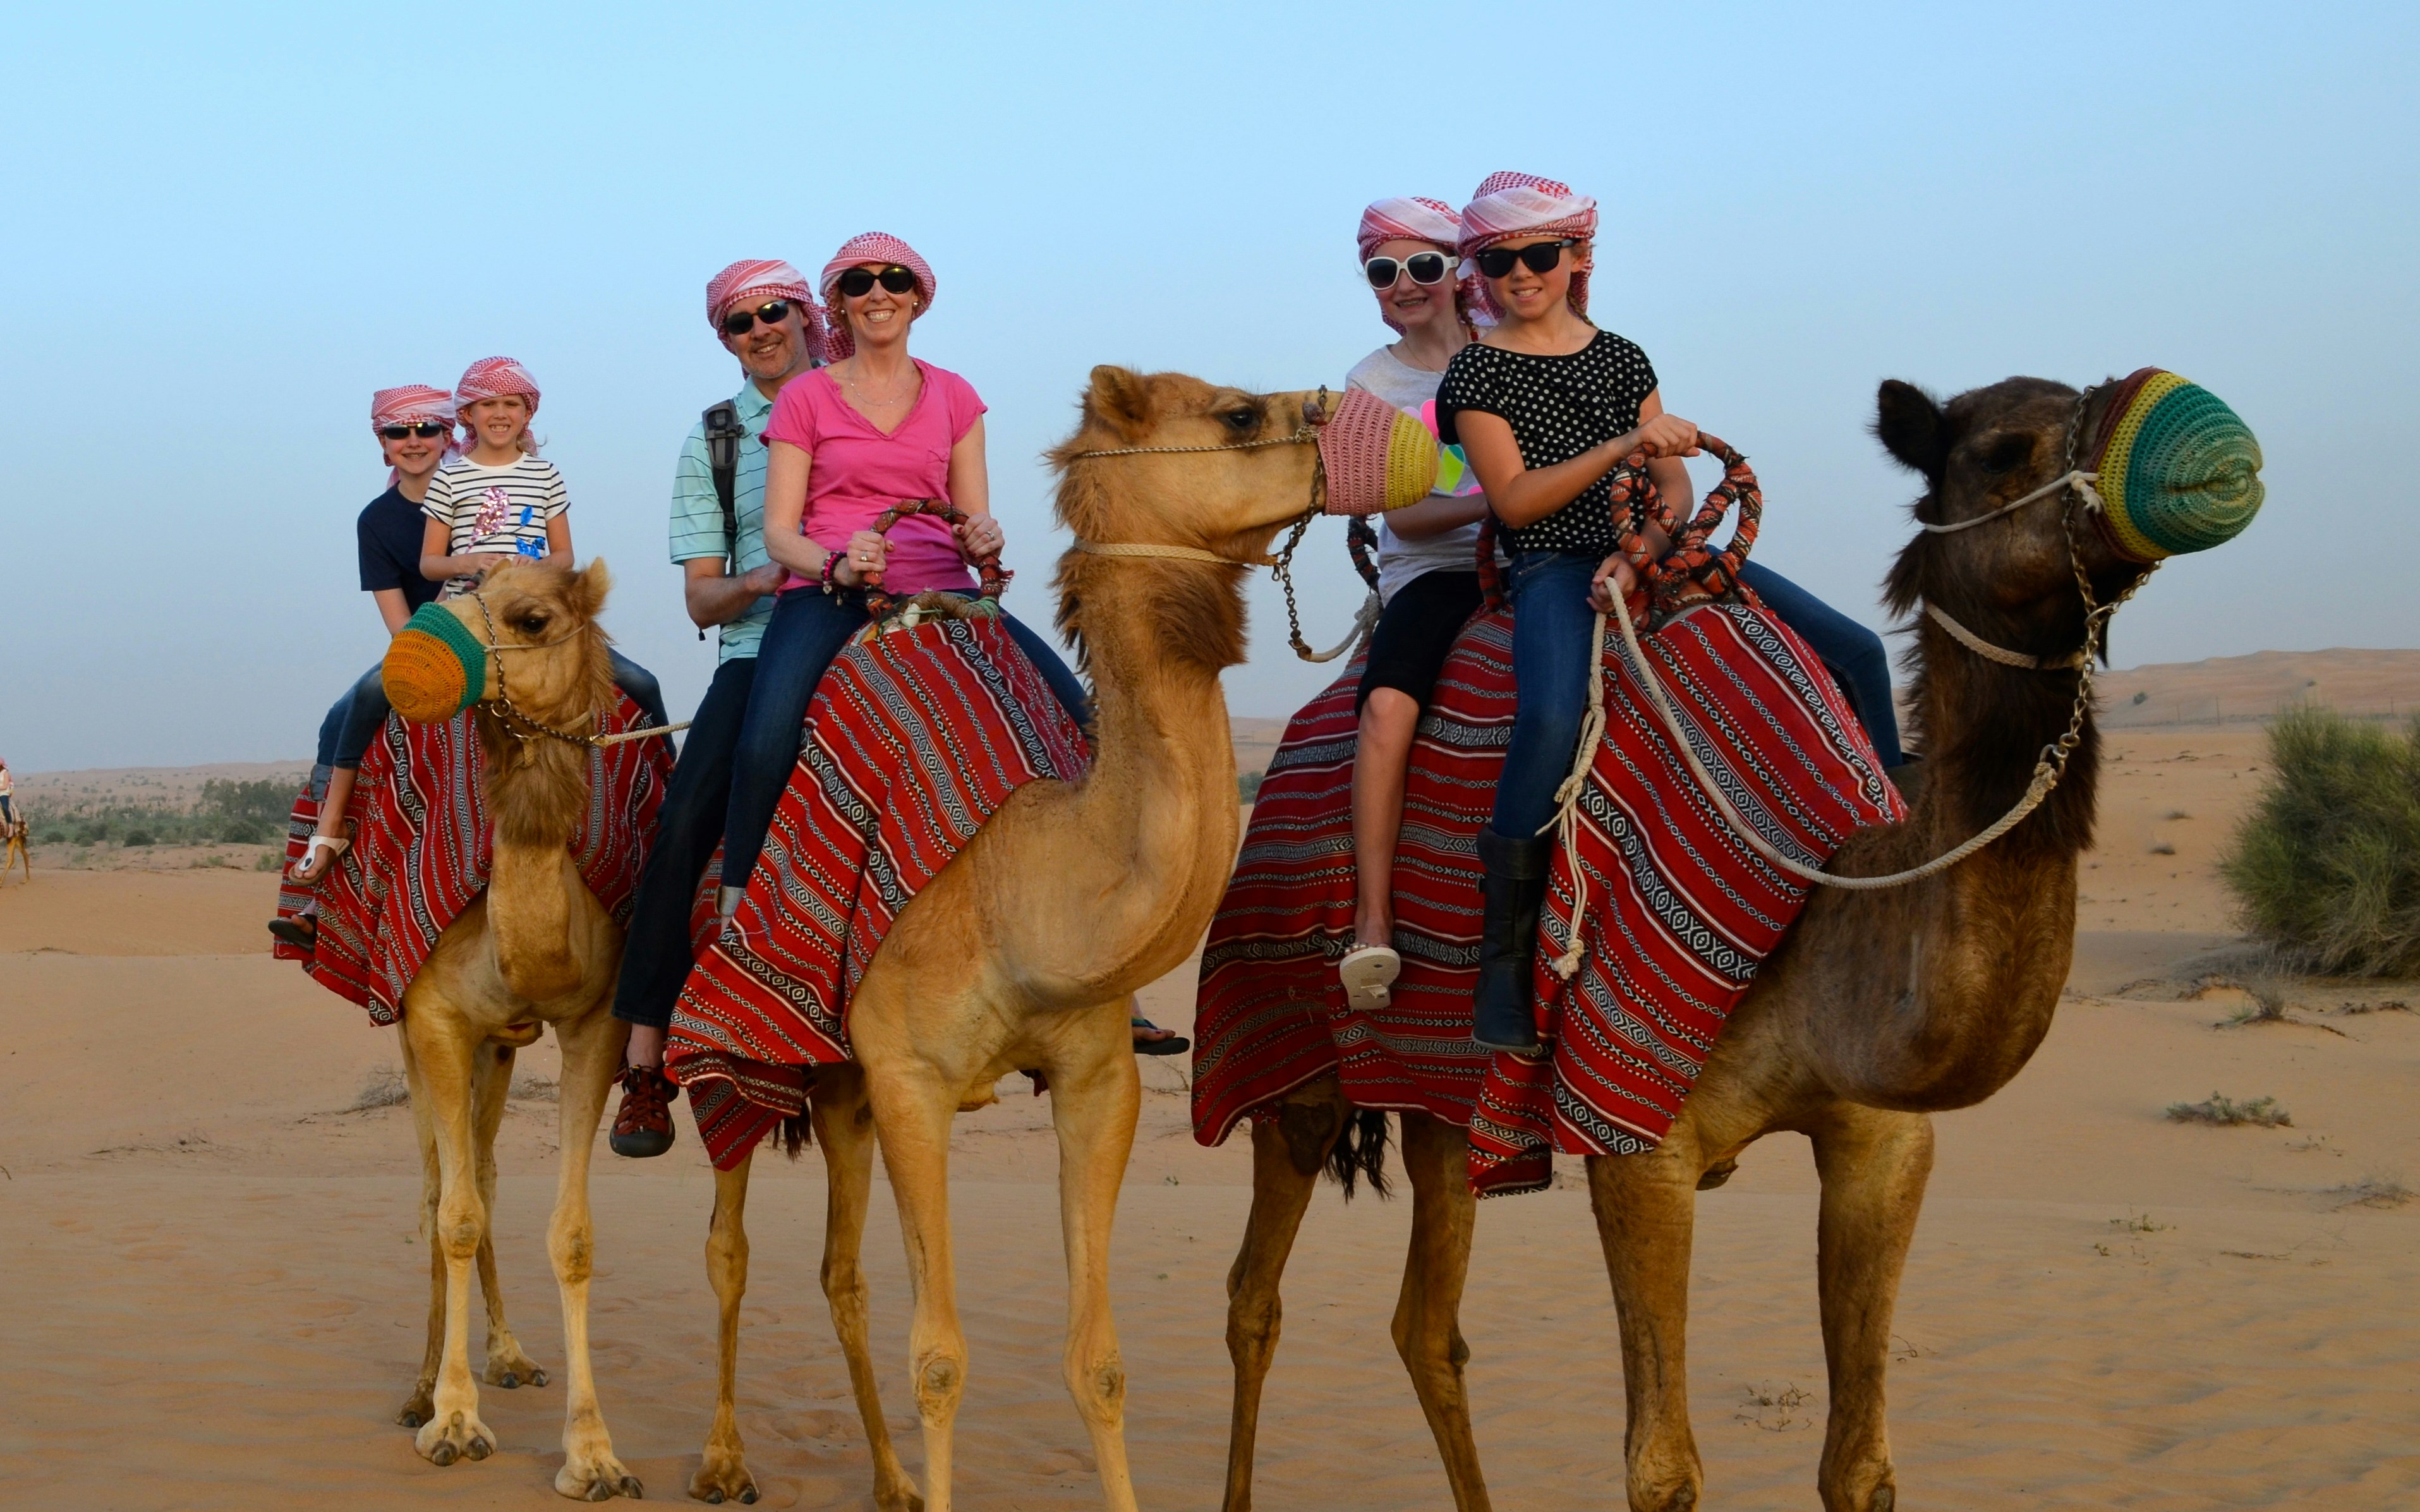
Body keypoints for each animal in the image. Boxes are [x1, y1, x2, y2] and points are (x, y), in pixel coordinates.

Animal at [382, 559, 647, 1499]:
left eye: (532, 619)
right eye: (452, 588)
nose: (409, 657)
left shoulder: (594, 1023)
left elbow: (570, 1233)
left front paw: (595, 1454)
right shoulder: (434, 1016)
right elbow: (451, 1215)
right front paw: (454, 1421)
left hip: (498, 1048)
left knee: (486, 1172)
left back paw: (509, 1354)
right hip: (417, 1040)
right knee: (436, 1187)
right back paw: (421, 1388)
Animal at [691, 368, 1330, 1512]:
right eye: (1239, 413)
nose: (1345, 414)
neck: (1016, 878)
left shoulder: (1093, 1075)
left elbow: (1099, 1360)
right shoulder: (913, 1079)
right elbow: (941, 1357)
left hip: (843, 1088)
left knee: (841, 1273)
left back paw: (891, 1481)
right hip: (751, 1065)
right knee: (728, 1242)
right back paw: (719, 1460)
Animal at [1220, 375, 2173, 1512]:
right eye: (2002, 450)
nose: (2173, 458)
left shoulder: (1883, 1139)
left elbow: (1861, 1466)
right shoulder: (1639, 1139)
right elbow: (1662, 1467)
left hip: (1442, 1100)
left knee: (1425, 1320)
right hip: (1297, 1059)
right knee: (1254, 1294)